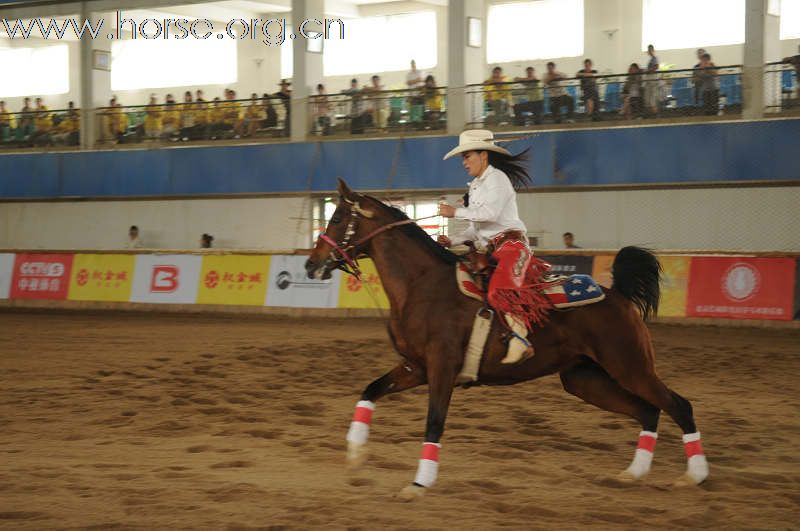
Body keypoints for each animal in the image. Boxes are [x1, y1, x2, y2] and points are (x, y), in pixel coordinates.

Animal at [304, 181, 708, 500]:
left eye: (337, 218)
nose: (310, 265)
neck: (422, 285)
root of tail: (619, 296)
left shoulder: (442, 368)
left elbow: (434, 422)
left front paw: (419, 484)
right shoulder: (415, 367)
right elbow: (370, 390)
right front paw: (355, 454)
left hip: (630, 366)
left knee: (678, 405)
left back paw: (694, 476)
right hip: (585, 378)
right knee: (648, 410)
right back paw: (633, 473)